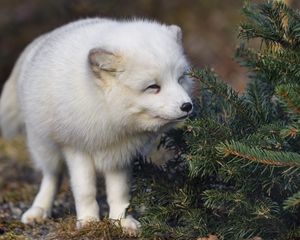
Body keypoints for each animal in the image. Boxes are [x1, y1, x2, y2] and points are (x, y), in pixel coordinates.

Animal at [0, 18, 192, 232]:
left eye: (180, 79)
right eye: (153, 87)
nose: (187, 106)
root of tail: (43, 39)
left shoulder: (120, 155)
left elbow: (119, 192)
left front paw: (121, 220)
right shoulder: (76, 148)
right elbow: (85, 190)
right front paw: (89, 221)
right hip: (44, 147)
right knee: (52, 176)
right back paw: (39, 209)